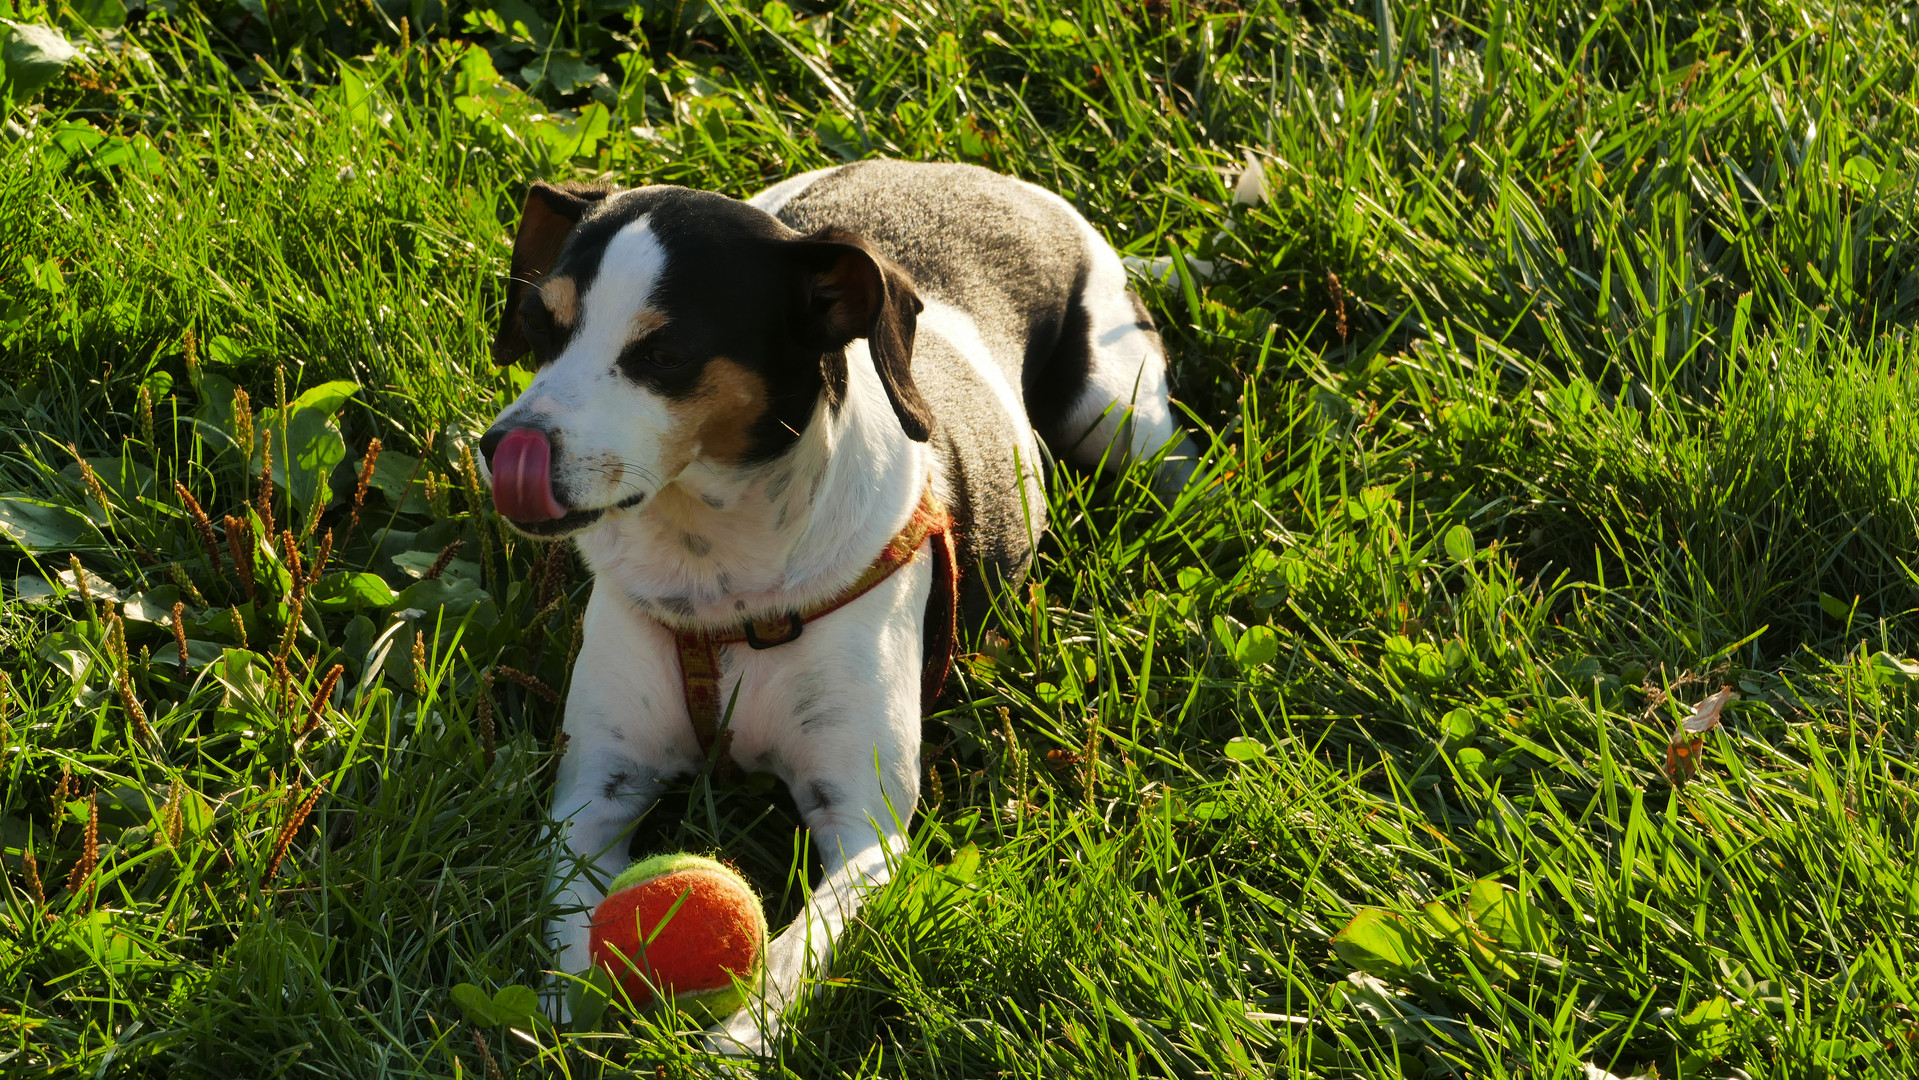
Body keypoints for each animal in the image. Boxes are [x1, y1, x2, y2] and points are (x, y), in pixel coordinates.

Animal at [477, 160, 1189, 1058]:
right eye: (539, 325)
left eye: (664, 353)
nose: (502, 449)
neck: (721, 578)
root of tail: (987, 177)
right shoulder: (595, 789)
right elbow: (572, 921)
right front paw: (571, 1015)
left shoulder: (863, 826)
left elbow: (795, 953)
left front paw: (733, 1047)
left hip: (1120, 422)